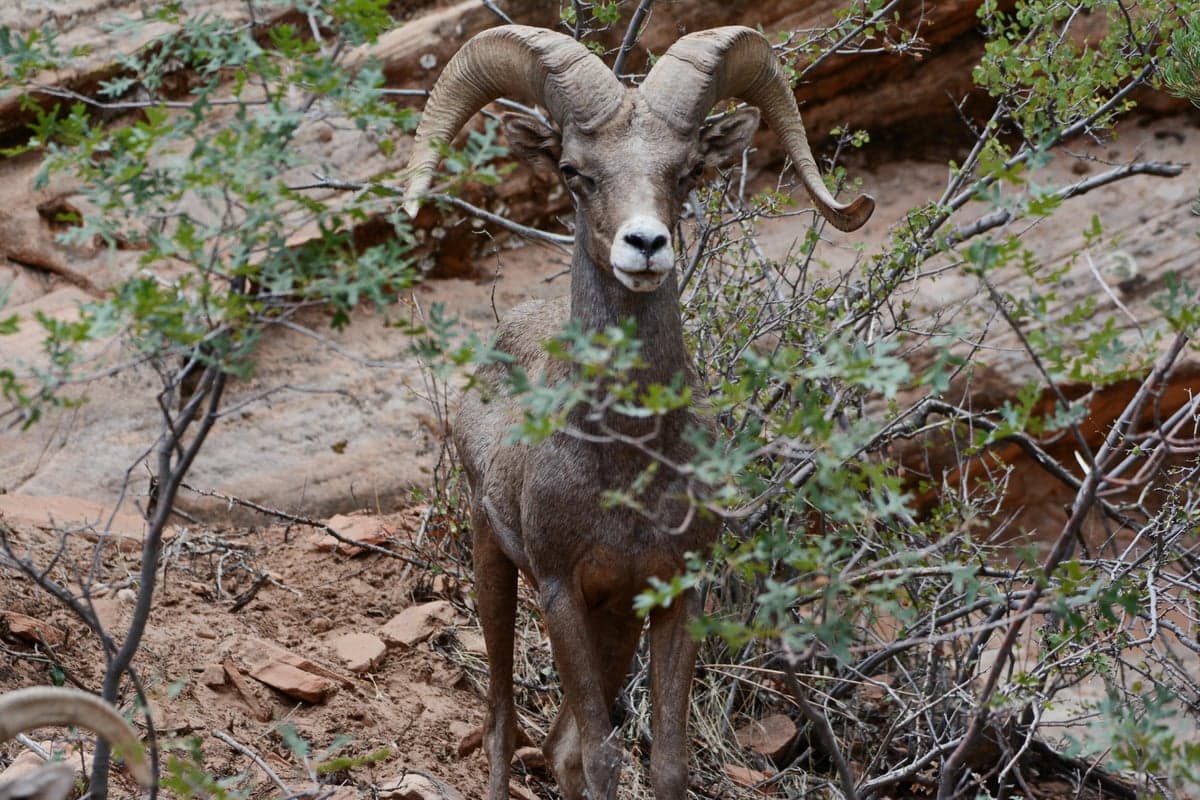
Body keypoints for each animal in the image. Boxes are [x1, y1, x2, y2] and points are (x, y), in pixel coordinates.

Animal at [402, 24, 873, 800]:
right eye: (574, 171)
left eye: (684, 173)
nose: (646, 245)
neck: (625, 463)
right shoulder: (560, 592)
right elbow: (601, 756)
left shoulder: (671, 595)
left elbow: (664, 761)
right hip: (491, 560)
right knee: (503, 722)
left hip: (614, 622)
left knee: (555, 747)